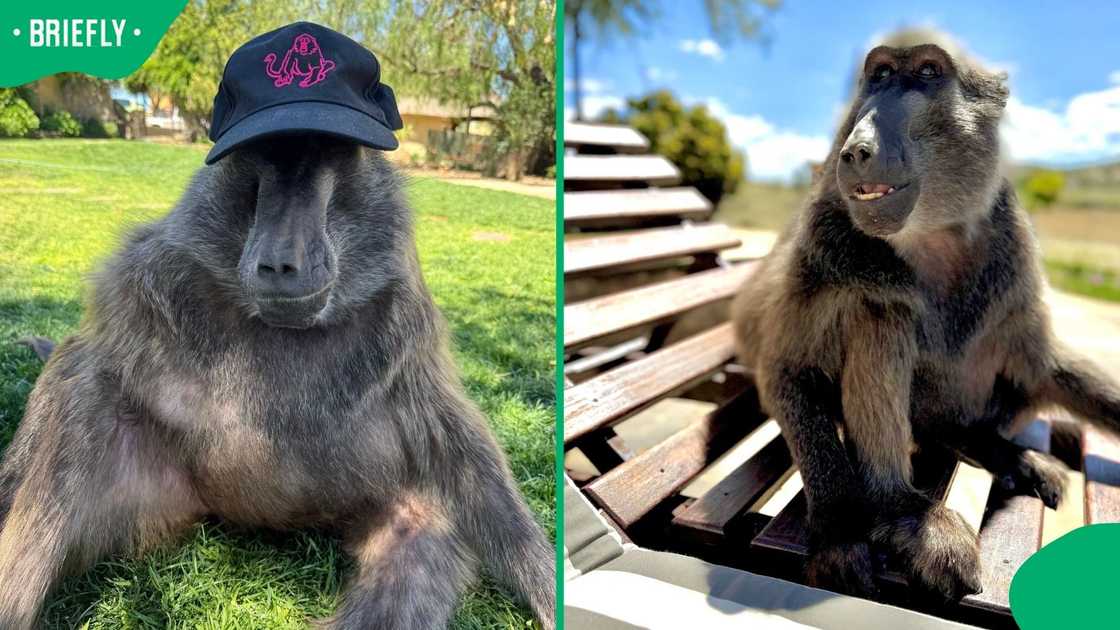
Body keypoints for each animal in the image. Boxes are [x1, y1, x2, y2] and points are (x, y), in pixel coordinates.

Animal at [0, 134, 555, 629]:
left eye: (323, 167)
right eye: (263, 173)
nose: (281, 261)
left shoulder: (406, 315)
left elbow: (453, 436)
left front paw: (548, 587)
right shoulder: (148, 277)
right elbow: (84, 365)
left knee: (415, 553)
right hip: (154, 494)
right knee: (81, 405)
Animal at [731, 29, 1120, 602]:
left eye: (929, 73)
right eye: (880, 75)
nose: (858, 149)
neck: (930, 240)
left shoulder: (1012, 254)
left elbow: (1042, 364)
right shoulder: (824, 245)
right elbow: (789, 374)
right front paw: (840, 528)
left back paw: (991, 449)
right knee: (878, 310)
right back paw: (904, 508)